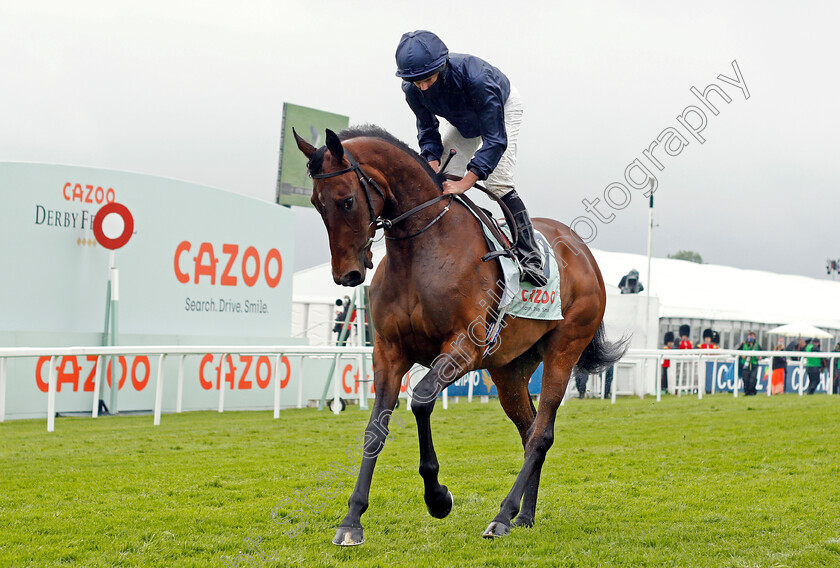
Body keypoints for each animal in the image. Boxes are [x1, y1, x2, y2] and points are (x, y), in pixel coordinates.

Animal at [292, 125, 628, 544]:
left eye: (347, 200)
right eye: (317, 204)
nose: (347, 275)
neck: (420, 249)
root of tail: (584, 253)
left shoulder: (463, 347)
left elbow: (421, 400)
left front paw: (438, 497)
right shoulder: (388, 351)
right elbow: (374, 429)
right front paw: (352, 520)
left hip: (563, 351)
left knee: (541, 434)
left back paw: (503, 515)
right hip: (509, 369)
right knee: (529, 428)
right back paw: (524, 515)